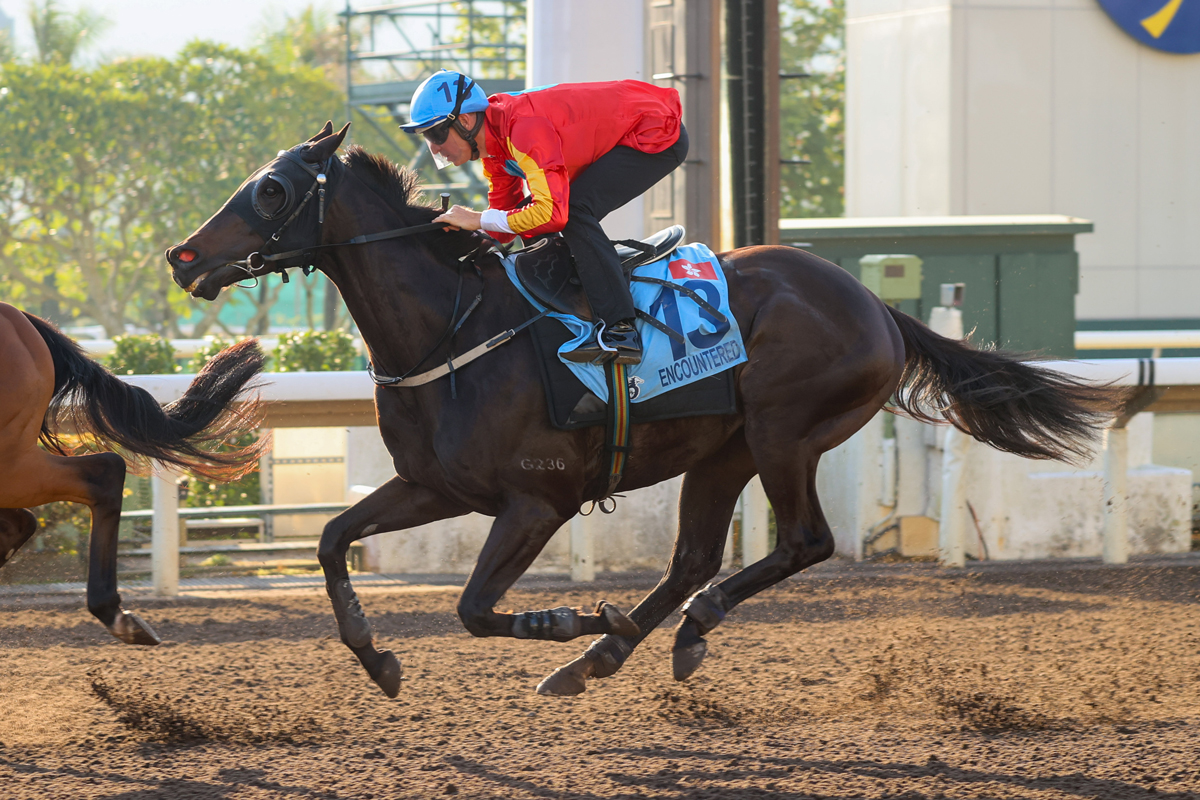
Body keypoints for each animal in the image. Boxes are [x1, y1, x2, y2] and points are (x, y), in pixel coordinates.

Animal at [164, 122, 1108, 695]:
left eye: (273, 190)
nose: (183, 257)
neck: (451, 331)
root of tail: (876, 304)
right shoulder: (436, 486)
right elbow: (331, 540)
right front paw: (379, 658)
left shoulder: (536, 501)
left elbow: (474, 609)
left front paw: (569, 616)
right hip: (723, 450)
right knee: (693, 559)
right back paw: (610, 654)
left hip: (782, 432)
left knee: (804, 542)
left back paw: (654, 634)